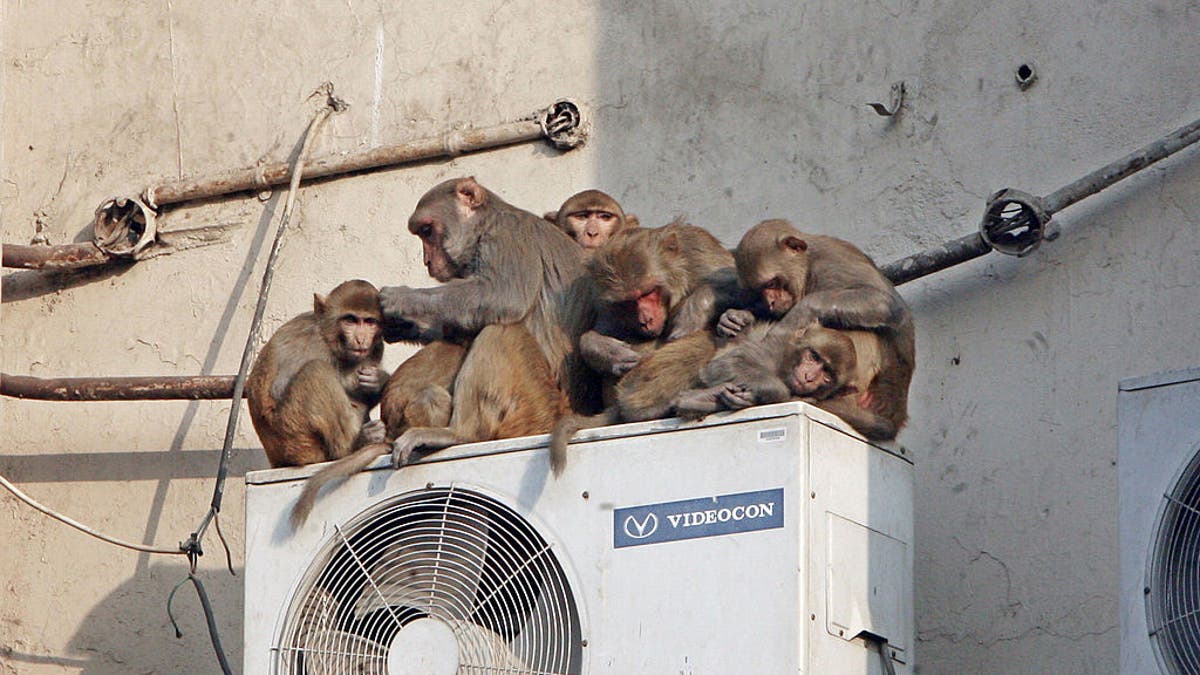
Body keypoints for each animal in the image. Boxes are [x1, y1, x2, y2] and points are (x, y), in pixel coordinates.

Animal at [247, 278, 388, 468]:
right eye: (350, 320)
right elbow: (279, 387)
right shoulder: (313, 344)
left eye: (370, 322)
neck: (329, 337)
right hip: (295, 438)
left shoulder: (376, 348)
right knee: (316, 371)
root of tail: (277, 460)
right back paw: (353, 446)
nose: (361, 339)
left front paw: (378, 380)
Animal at [705, 220, 912, 439]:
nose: (770, 302)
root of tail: (895, 413)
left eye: (772, 283)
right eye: (760, 289)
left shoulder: (831, 262)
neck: (808, 266)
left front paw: (800, 311)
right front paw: (736, 318)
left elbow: (885, 302)